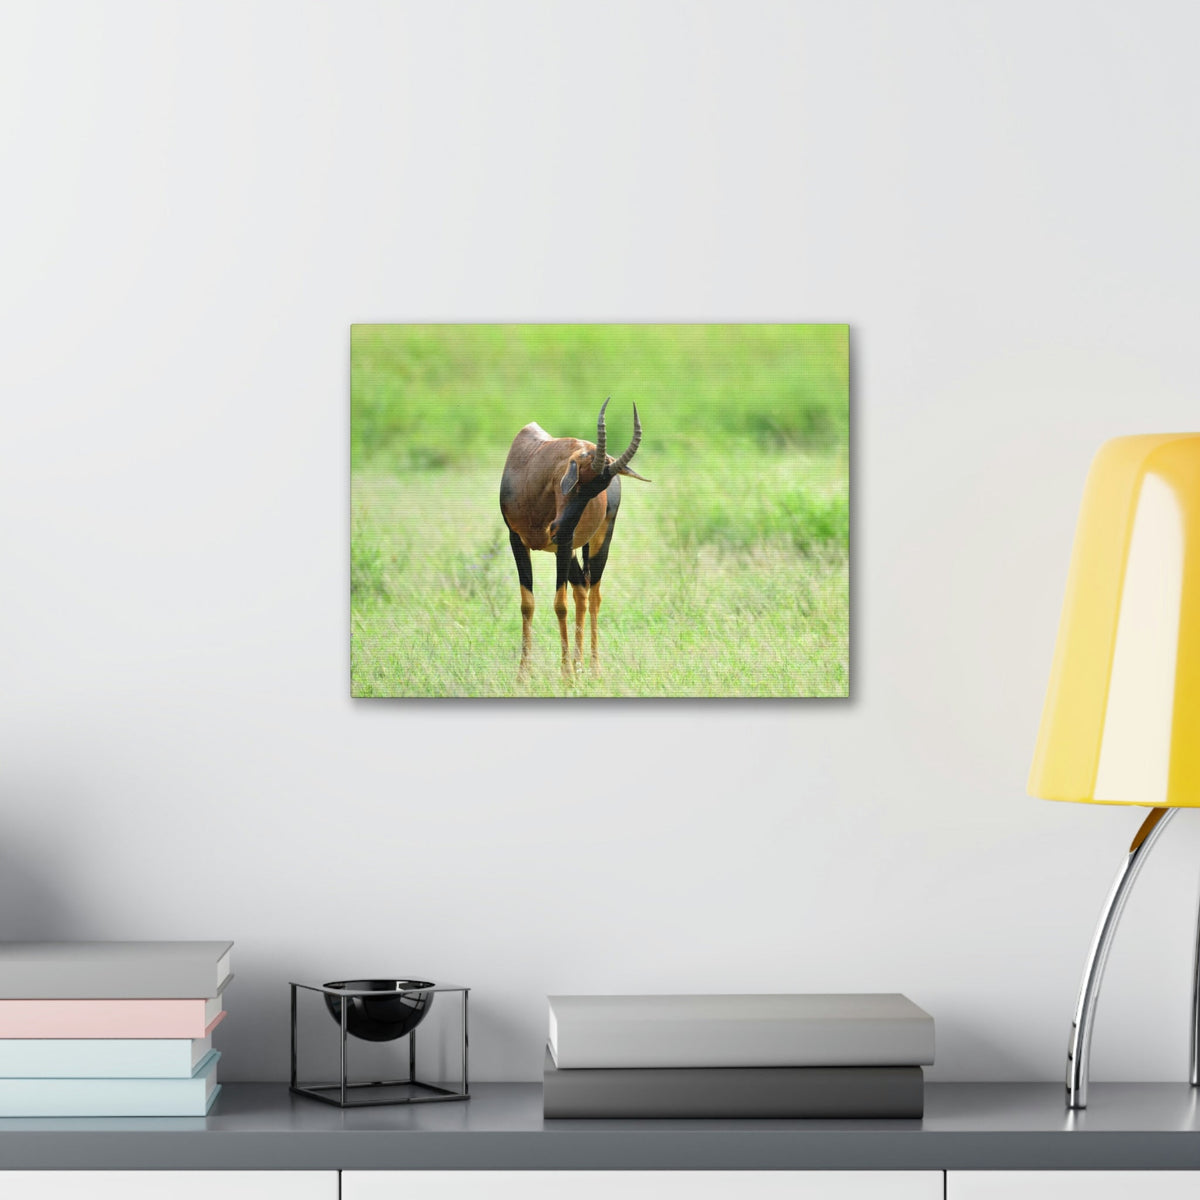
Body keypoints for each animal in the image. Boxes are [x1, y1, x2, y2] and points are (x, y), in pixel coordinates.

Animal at [499, 398, 649, 675]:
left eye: (598, 490)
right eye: (578, 479)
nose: (558, 527)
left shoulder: (565, 544)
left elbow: (560, 605)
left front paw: (565, 675)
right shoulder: (516, 540)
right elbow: (528, 603)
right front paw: (523, 675)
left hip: (597, 542)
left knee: (594, 595)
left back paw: (593, 669)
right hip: (568, 551)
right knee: (581, 590)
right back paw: (580, 667)